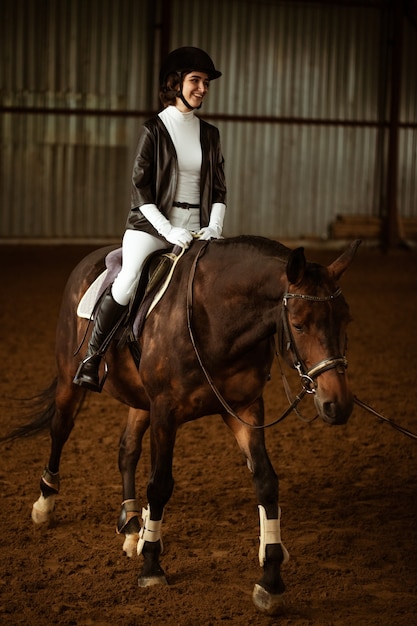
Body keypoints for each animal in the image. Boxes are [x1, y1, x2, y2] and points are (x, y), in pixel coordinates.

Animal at [8, 236, 362, 612]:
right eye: (298, 324)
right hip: (70, 380)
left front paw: (271, 579)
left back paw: (132, 525)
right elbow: (160, 484)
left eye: (346, 319)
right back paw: (45, 505)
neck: (217, 321)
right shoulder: (166, 410)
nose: (337, 404)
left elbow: (266, 483)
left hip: (141, 400)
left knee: (127, 450)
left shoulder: (244, 409)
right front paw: (151, 566)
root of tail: (90, 259)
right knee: (60, 429)